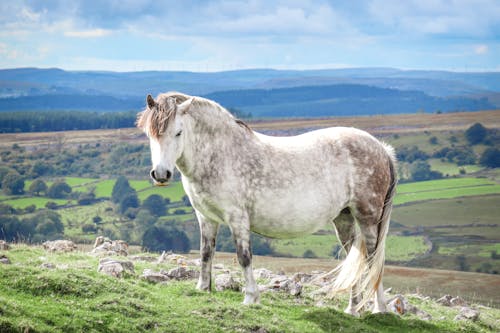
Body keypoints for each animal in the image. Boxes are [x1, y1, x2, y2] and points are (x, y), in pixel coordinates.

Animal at [137, 91, 398, 314]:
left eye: (178, 132)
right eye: (151, 134)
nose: (161, 174)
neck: (220, 155)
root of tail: (382, 149)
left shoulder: (238, 218)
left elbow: (244, 257)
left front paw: (251, 297)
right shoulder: (206, 218)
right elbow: (205, 253)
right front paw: (203, 288)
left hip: (368, 217)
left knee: (373, 260)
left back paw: (379, 308)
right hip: (343, 218)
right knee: (354, 259)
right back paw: (353, 309)